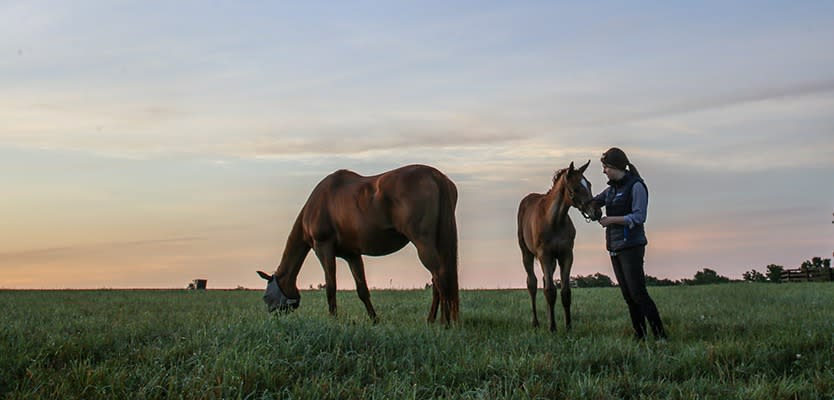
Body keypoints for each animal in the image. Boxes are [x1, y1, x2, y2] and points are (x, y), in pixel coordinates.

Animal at [256, 164, 458, 324]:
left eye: (266, 297)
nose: (272, 317)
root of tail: (436, 176)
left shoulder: (323, 248)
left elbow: (331, 286)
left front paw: (333, 319)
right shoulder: (352, 254)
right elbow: (362, 289)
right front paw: (374, 319)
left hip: (423, 244)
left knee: (440, 276)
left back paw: (443, 323)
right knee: (438, 279)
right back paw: (433, 320)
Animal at [512, 159, 600, 332]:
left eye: (589, 184)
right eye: (576, 188)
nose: (597, 212)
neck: (554, 220)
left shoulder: (566, 255)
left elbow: (565, 292)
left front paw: (568, 326)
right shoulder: (544, 255)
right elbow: (550, 291)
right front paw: (552, 328)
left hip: (552, 260)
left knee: (545, 280)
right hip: (527, 254)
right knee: (532, 283)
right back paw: (536, 323)